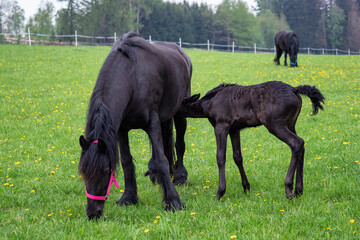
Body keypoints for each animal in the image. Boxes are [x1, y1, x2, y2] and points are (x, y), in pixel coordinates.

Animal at [78, 32, 191, 220]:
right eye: (83, 173)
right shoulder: (121, 129)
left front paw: (174, 201)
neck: (132, 78)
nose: (93, 213)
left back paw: (180, 177)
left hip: (180, 112)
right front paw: (129, 197)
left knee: (179, 144)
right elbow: (126, 160)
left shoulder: (152, 122)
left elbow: (162, 160)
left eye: (105, 171)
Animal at [181, 81, 324, 200]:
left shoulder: (221, 127)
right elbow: (237, 157)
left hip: (275, 125)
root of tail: (294, 89)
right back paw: (299, 190)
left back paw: (289, 189)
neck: (211, 101)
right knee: (301, 147)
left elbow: (220, 157)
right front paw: (246, 187)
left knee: (297, 143)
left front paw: (220, 192)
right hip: (290, 125)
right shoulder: (234, 130)